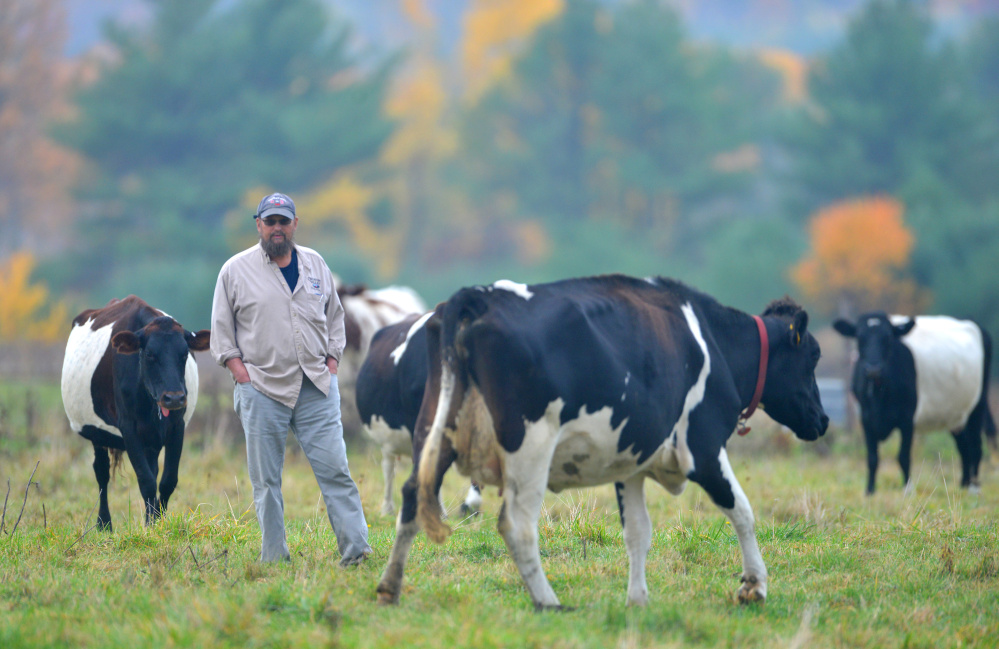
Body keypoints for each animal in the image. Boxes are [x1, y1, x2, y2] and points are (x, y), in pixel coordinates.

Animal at [61, 296, 211, 528]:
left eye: (185, 353)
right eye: (149, 354)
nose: (174, 398)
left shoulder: (177, 426)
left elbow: (167, 480)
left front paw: (158, 523)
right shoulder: (128, 428)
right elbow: (146, 480)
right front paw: (151, 527)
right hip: (97, 433)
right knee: (101, 472)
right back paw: (104, 524)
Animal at [376, 274, 828, 608]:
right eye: (813, 356)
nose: (823, 420)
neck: (712, 342)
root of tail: (476, 296)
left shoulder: (631, 463)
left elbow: (638, 532)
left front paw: (638, 601)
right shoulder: (702, 447)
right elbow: (743, 512)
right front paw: (754, 586)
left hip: (434, 432)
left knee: (412, 496)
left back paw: (389, 588)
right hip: (529, 446)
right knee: (516, 523)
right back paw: (548, 601)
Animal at [832, 312, 996, 492]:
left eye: (887, 338)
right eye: (859, 338)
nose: (873, 369)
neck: (879, 394)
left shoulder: (907, 418)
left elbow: (903, 456)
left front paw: (907, 489)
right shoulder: (866, 419)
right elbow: (872, 457)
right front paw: (870, 491)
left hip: (977, 405)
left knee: (975, 445)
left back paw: (974, 487)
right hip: (955, 414)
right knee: (963, 447)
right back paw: (963, 485)